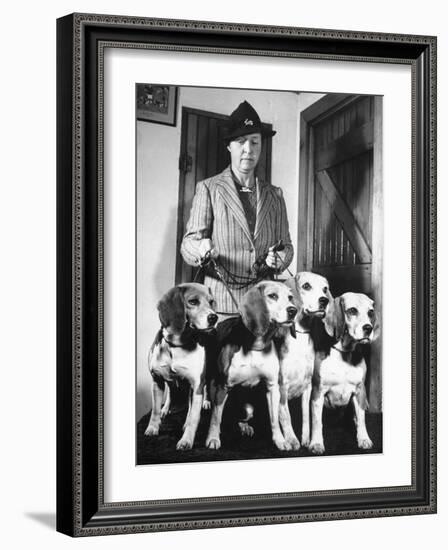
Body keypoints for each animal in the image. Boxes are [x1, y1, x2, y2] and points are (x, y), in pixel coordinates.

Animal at [144, 284, 218, 452]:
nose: (214, 317)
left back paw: (205, 403)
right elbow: (155, 410)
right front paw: (153, 428)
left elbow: (194, 418)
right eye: (193, 301)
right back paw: (166, 408)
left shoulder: (196, 385)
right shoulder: (157, 380)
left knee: (200, 397)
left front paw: (186, 440)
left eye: (211, 302)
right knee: (171, 393)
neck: (176, 345)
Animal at [204, 284, 296, 452]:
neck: (256, 346)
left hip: (248, 410)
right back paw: (207, 403)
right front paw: (213, 438)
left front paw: (280, 440)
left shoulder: (272, 387)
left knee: (240, 417)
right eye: (272, 296)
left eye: (290, 297)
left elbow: (274, 419)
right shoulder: (223, 386)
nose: (293, 310)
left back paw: (244, 426)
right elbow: (215, 417)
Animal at [310, 294, 380, 458]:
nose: (369, 328)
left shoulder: (360, 392)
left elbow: (361, 418)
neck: (344, 353)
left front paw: (363, 438)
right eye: (352, 311)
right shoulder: (318, 392)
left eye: (370, 312)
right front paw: (316, 443)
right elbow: (317, 422)